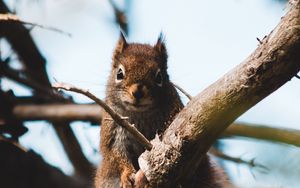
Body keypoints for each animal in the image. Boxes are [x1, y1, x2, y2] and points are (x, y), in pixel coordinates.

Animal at [95, 33, 229, 187]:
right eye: (119, 74)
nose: (138, 93)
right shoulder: (113, 128)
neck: (141, 114)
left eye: (159, 77)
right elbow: (115, 153)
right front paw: (127, 174)